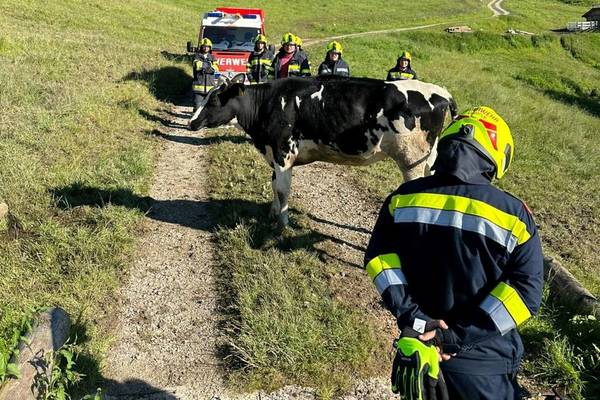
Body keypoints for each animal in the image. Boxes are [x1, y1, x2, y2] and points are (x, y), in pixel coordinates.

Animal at [189, 76, 457, 227]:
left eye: (214, 100)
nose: (192, 122)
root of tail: (442, 92)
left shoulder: (283, 151)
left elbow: (283, 190)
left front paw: (282, 225)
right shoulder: (273, 152)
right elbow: (274, 185)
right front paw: (272, 214)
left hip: (412, 159)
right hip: (428, 159)